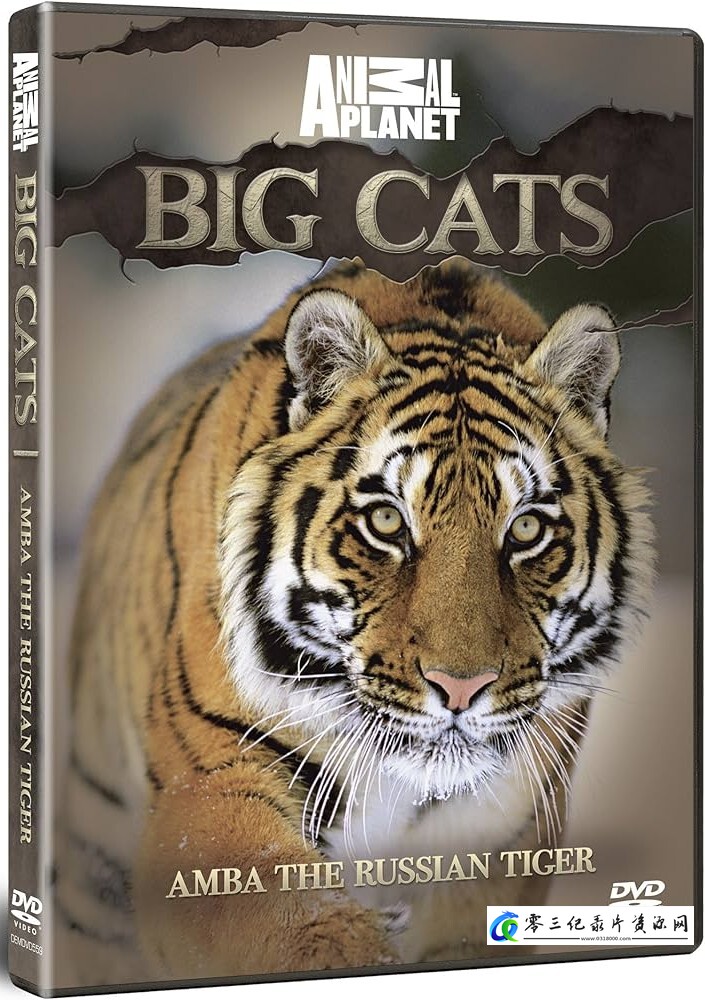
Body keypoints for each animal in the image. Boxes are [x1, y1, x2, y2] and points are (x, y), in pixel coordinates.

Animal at [56, 257, 654, 987]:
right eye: (387, 521)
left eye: (526, 529)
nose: (461, 688)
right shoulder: (210, 783)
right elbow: (294, 921)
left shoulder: (507, 826)